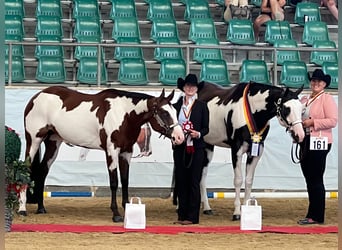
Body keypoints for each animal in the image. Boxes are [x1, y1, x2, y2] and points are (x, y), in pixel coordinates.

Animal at [18, 85, 184, 222]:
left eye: (175, 111)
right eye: (164, 112)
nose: (179, 137)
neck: (124, 114)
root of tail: (37, 96)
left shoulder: (126, 152)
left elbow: (125, 180)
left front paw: (127, 208)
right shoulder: (112, 151)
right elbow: (114, 182)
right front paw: (116, 214)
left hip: (53, 143)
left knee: (42, 171)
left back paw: (41, 208)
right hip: (33, 141)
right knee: (26, 170)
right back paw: (22, 209)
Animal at [196, 81, 306, 219]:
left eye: (302, 109)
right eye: (287, 109)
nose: (299, 135)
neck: (253, 110)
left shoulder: (256, 151)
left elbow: (249, 181)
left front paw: (246, 209)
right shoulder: (236, 149)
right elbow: (238, 180)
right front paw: (237, 213)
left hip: (209, 146)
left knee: (202, 175)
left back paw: (205, 207)